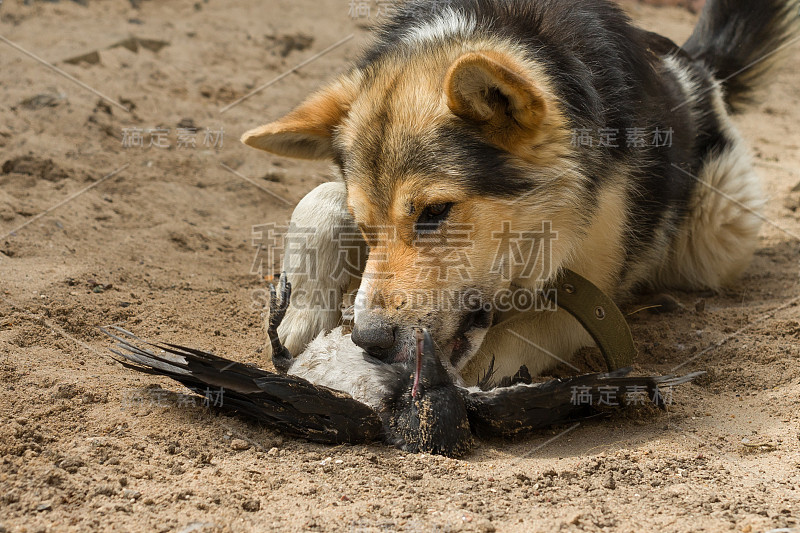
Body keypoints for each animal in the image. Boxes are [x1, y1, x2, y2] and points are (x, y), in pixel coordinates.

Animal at [242, 0, 800, 382]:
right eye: (366, 225)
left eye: (436, 211)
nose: (370, 341)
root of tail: (699, 71)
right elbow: (319, 199)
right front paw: (304, 313)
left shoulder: (590, 296)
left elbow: (503, 343)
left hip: (714, 232)